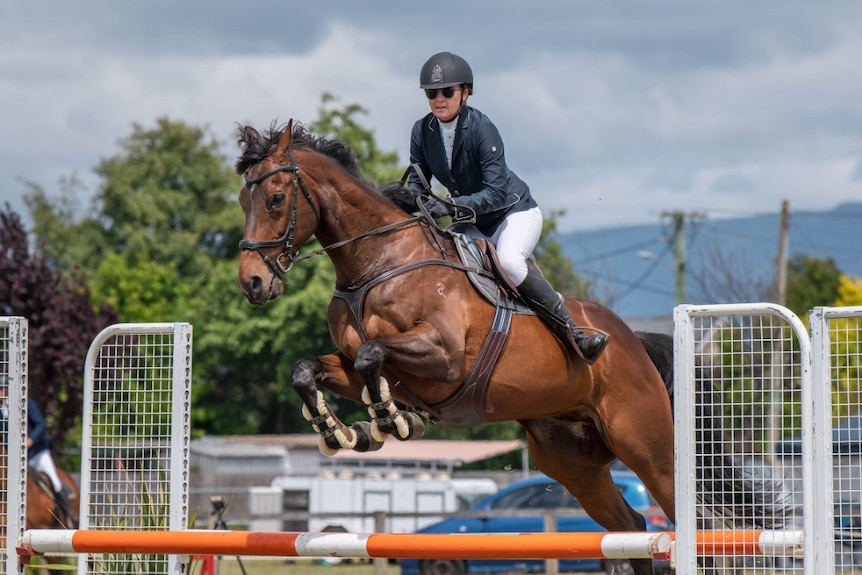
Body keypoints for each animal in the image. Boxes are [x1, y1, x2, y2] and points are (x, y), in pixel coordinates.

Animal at [233, 121, 788, 575]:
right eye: (243, 201)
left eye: (276, 198)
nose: (253, 283)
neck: (378, 262)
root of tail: (632, 340)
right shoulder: (353, 365)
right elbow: (308, 369)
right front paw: (343, 431)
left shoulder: (444, 361)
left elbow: (375, 356)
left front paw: (392, 420)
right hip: (570, 460)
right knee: (631, 528)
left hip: (647, 445)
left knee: (689, 527)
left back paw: (584, 342)